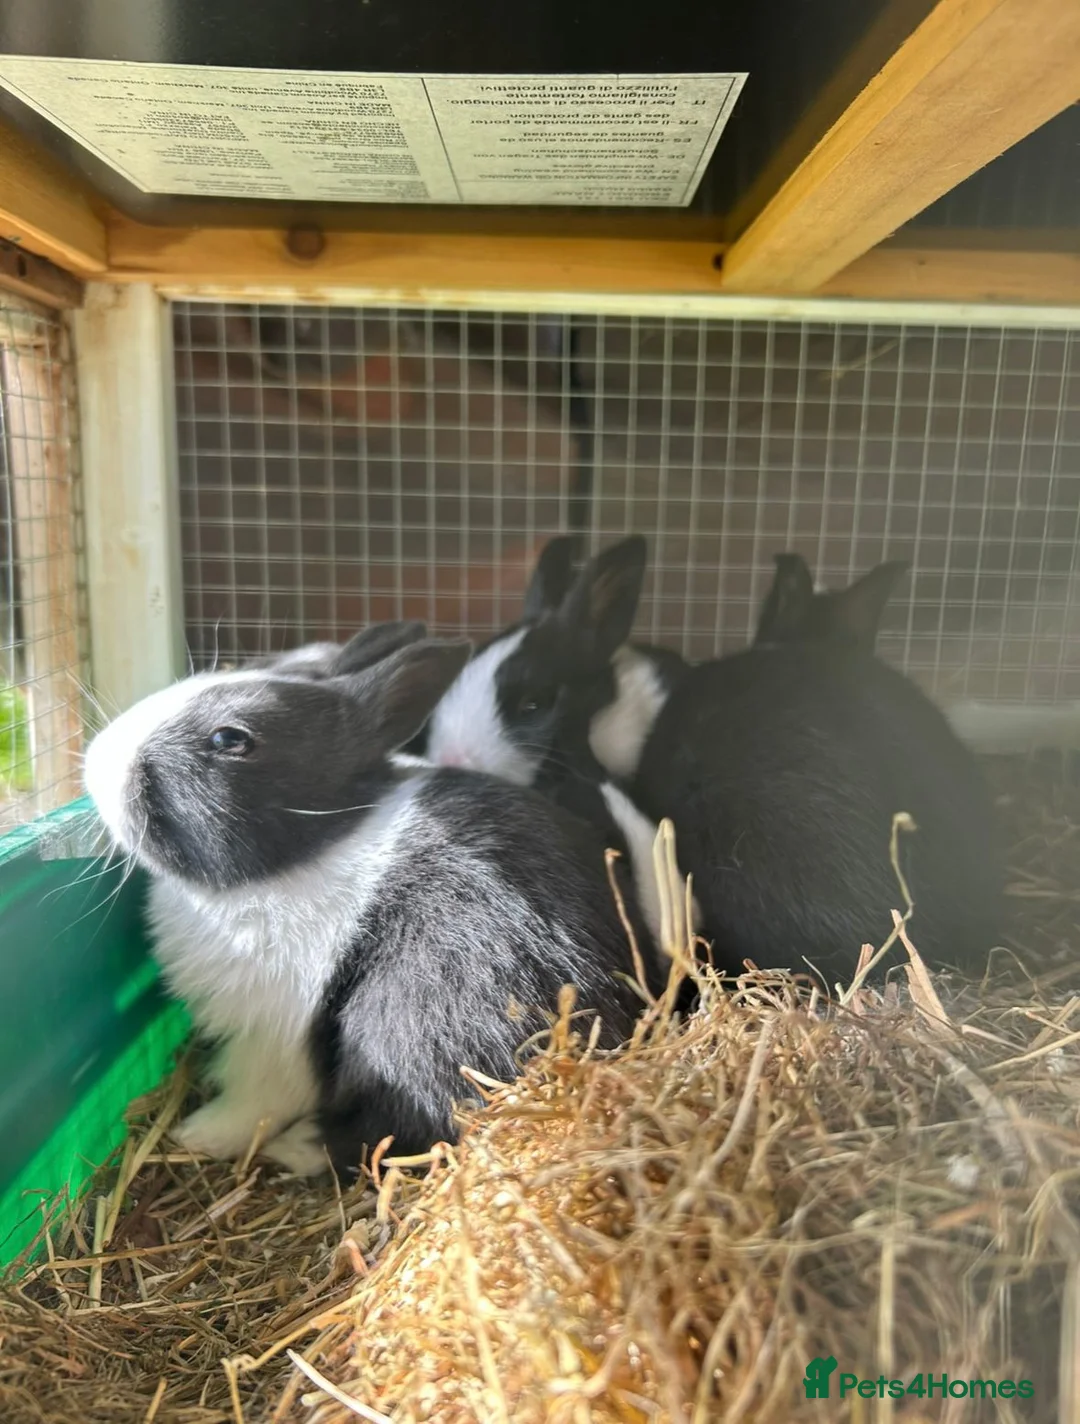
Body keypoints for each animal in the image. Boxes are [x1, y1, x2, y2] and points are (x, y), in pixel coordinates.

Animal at [82, 621, 664, 1180]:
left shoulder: (275, 1036)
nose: (96, 759)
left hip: (406, 1029)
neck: (310, 848)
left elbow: (255, 1102)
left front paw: (197, 1135)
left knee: (404, 1131)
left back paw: (295, 1149)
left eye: (230, 738)